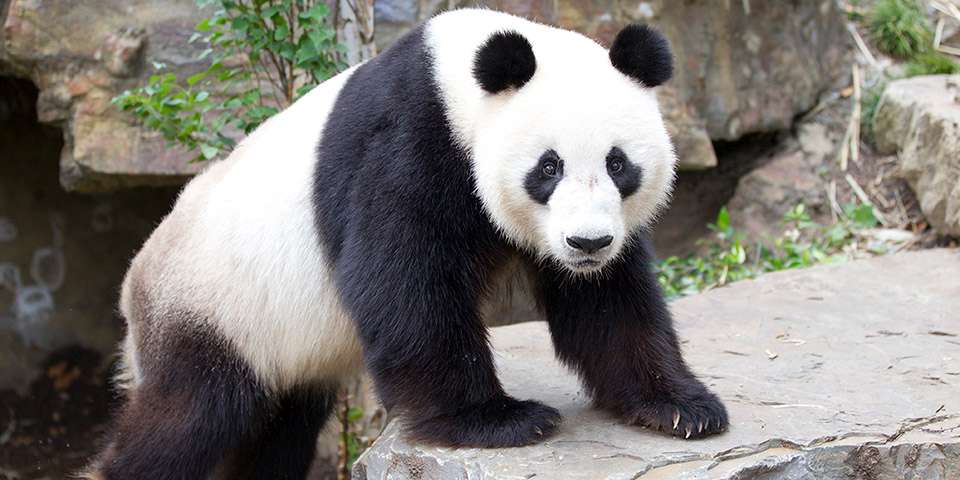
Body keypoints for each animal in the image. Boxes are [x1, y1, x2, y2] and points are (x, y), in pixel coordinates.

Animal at [86, 8, 728, 480]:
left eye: (619, 164)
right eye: (548, 168)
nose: (587, 242)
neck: (459, 83)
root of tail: (130, 291)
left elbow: (606, 303)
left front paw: (681, 408)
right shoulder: (406, 141)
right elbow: (403, 280)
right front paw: (498, 420)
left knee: (277, 431)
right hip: (213, 309)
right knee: (190, 417)